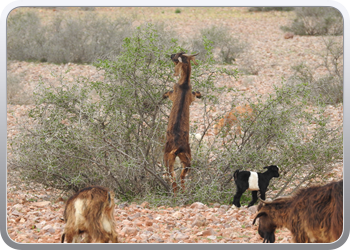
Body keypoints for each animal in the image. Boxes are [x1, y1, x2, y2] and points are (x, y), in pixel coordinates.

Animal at [163, 51, 201, 194]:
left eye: (175, 56)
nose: (170, 55)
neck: (184, 84)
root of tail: (177, 148)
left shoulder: (176, 93)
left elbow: (169, 92)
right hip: (187, 159)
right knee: (182, 176)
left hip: (167, 158)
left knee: (174, 178)